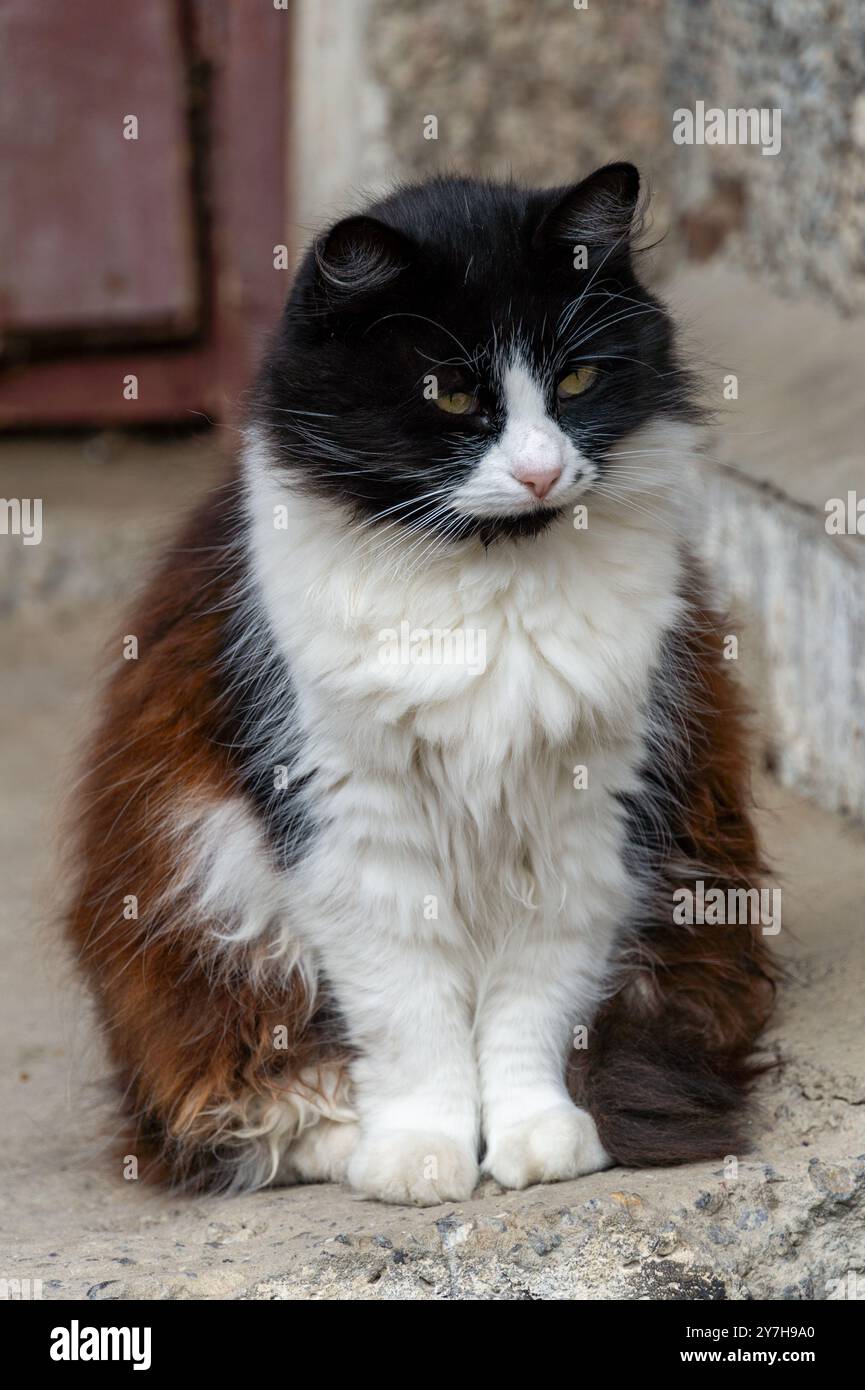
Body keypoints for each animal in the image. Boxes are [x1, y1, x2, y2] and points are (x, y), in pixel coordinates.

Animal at [66, 165, 773, 1206]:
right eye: (449, 394)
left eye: (575, 381)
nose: (539, 472)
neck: (487, 577)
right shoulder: (354, 827)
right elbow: (411, 1020)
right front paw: (420, 1155)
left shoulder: (587, 818)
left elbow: (531, 1011)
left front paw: (534, 1139)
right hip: (205, 887)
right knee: (243, 1094)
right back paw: (339, 1142)